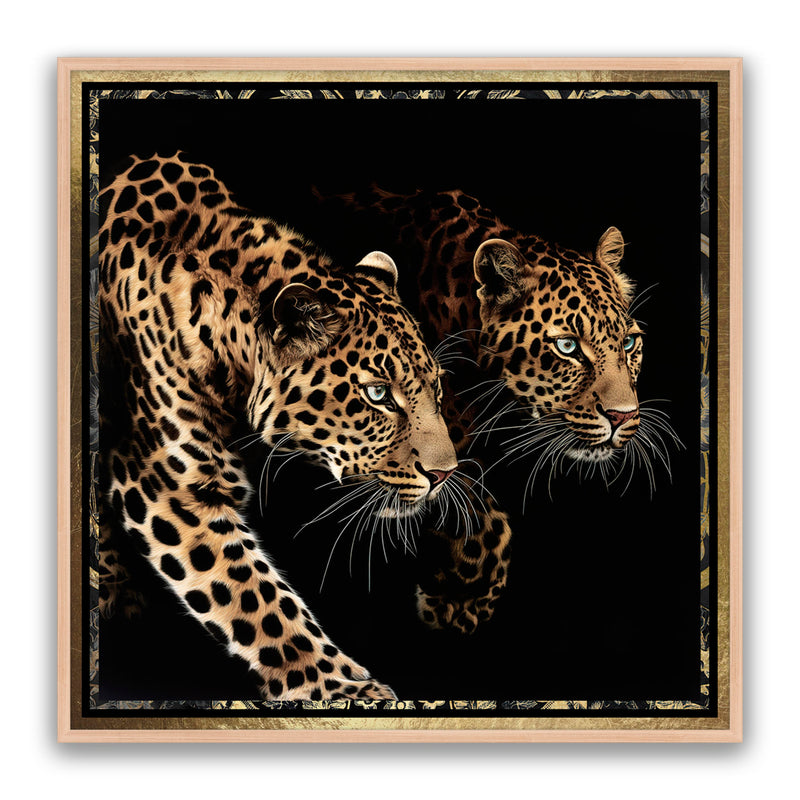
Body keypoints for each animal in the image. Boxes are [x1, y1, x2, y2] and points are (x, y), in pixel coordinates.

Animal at [96, 154, 460, 701]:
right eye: (378, 395)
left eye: (435, 387)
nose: (446, 474)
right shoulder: (166, 484)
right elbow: (257, 600)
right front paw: (344, 689)